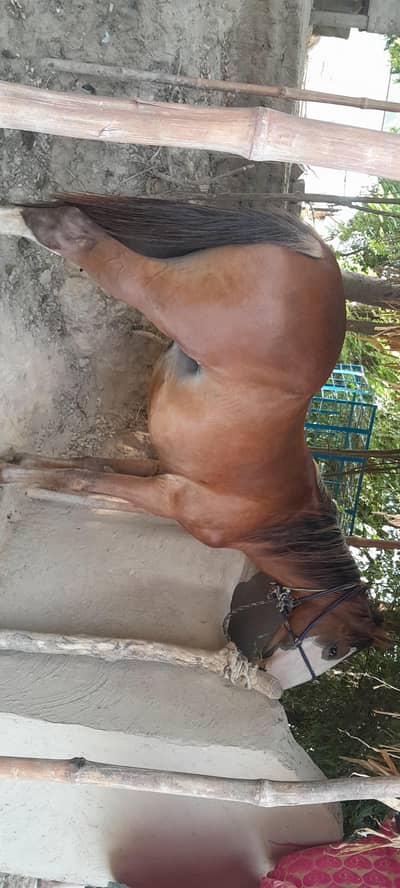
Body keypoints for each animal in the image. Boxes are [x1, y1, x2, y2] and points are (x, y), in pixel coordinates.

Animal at [0, 194, 389, 688]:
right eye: (335, 649)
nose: (271, 682)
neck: (273, 518)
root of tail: (321, 255)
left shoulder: (156, 469)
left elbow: (83, 465)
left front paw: (19, 464)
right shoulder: (167, 496)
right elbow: (84, 480)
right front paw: (9, 475)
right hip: (157, 294)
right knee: (79, 235)